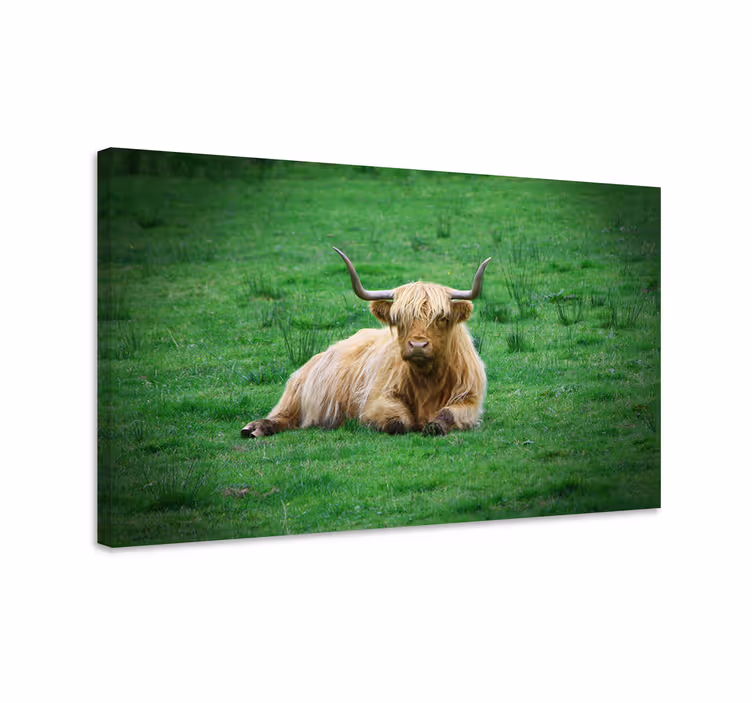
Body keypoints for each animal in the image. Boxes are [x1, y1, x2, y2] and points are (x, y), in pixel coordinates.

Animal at [241, 247, 491, 438]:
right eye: (398, 319)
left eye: (442, 318)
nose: (418, 346)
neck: (427, 380)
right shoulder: (375, 400)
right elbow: (399, 422)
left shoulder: (469, 400)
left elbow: (446, 415)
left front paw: (433, 426)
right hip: (295, 396)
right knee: (281, 416)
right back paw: (254, 428)